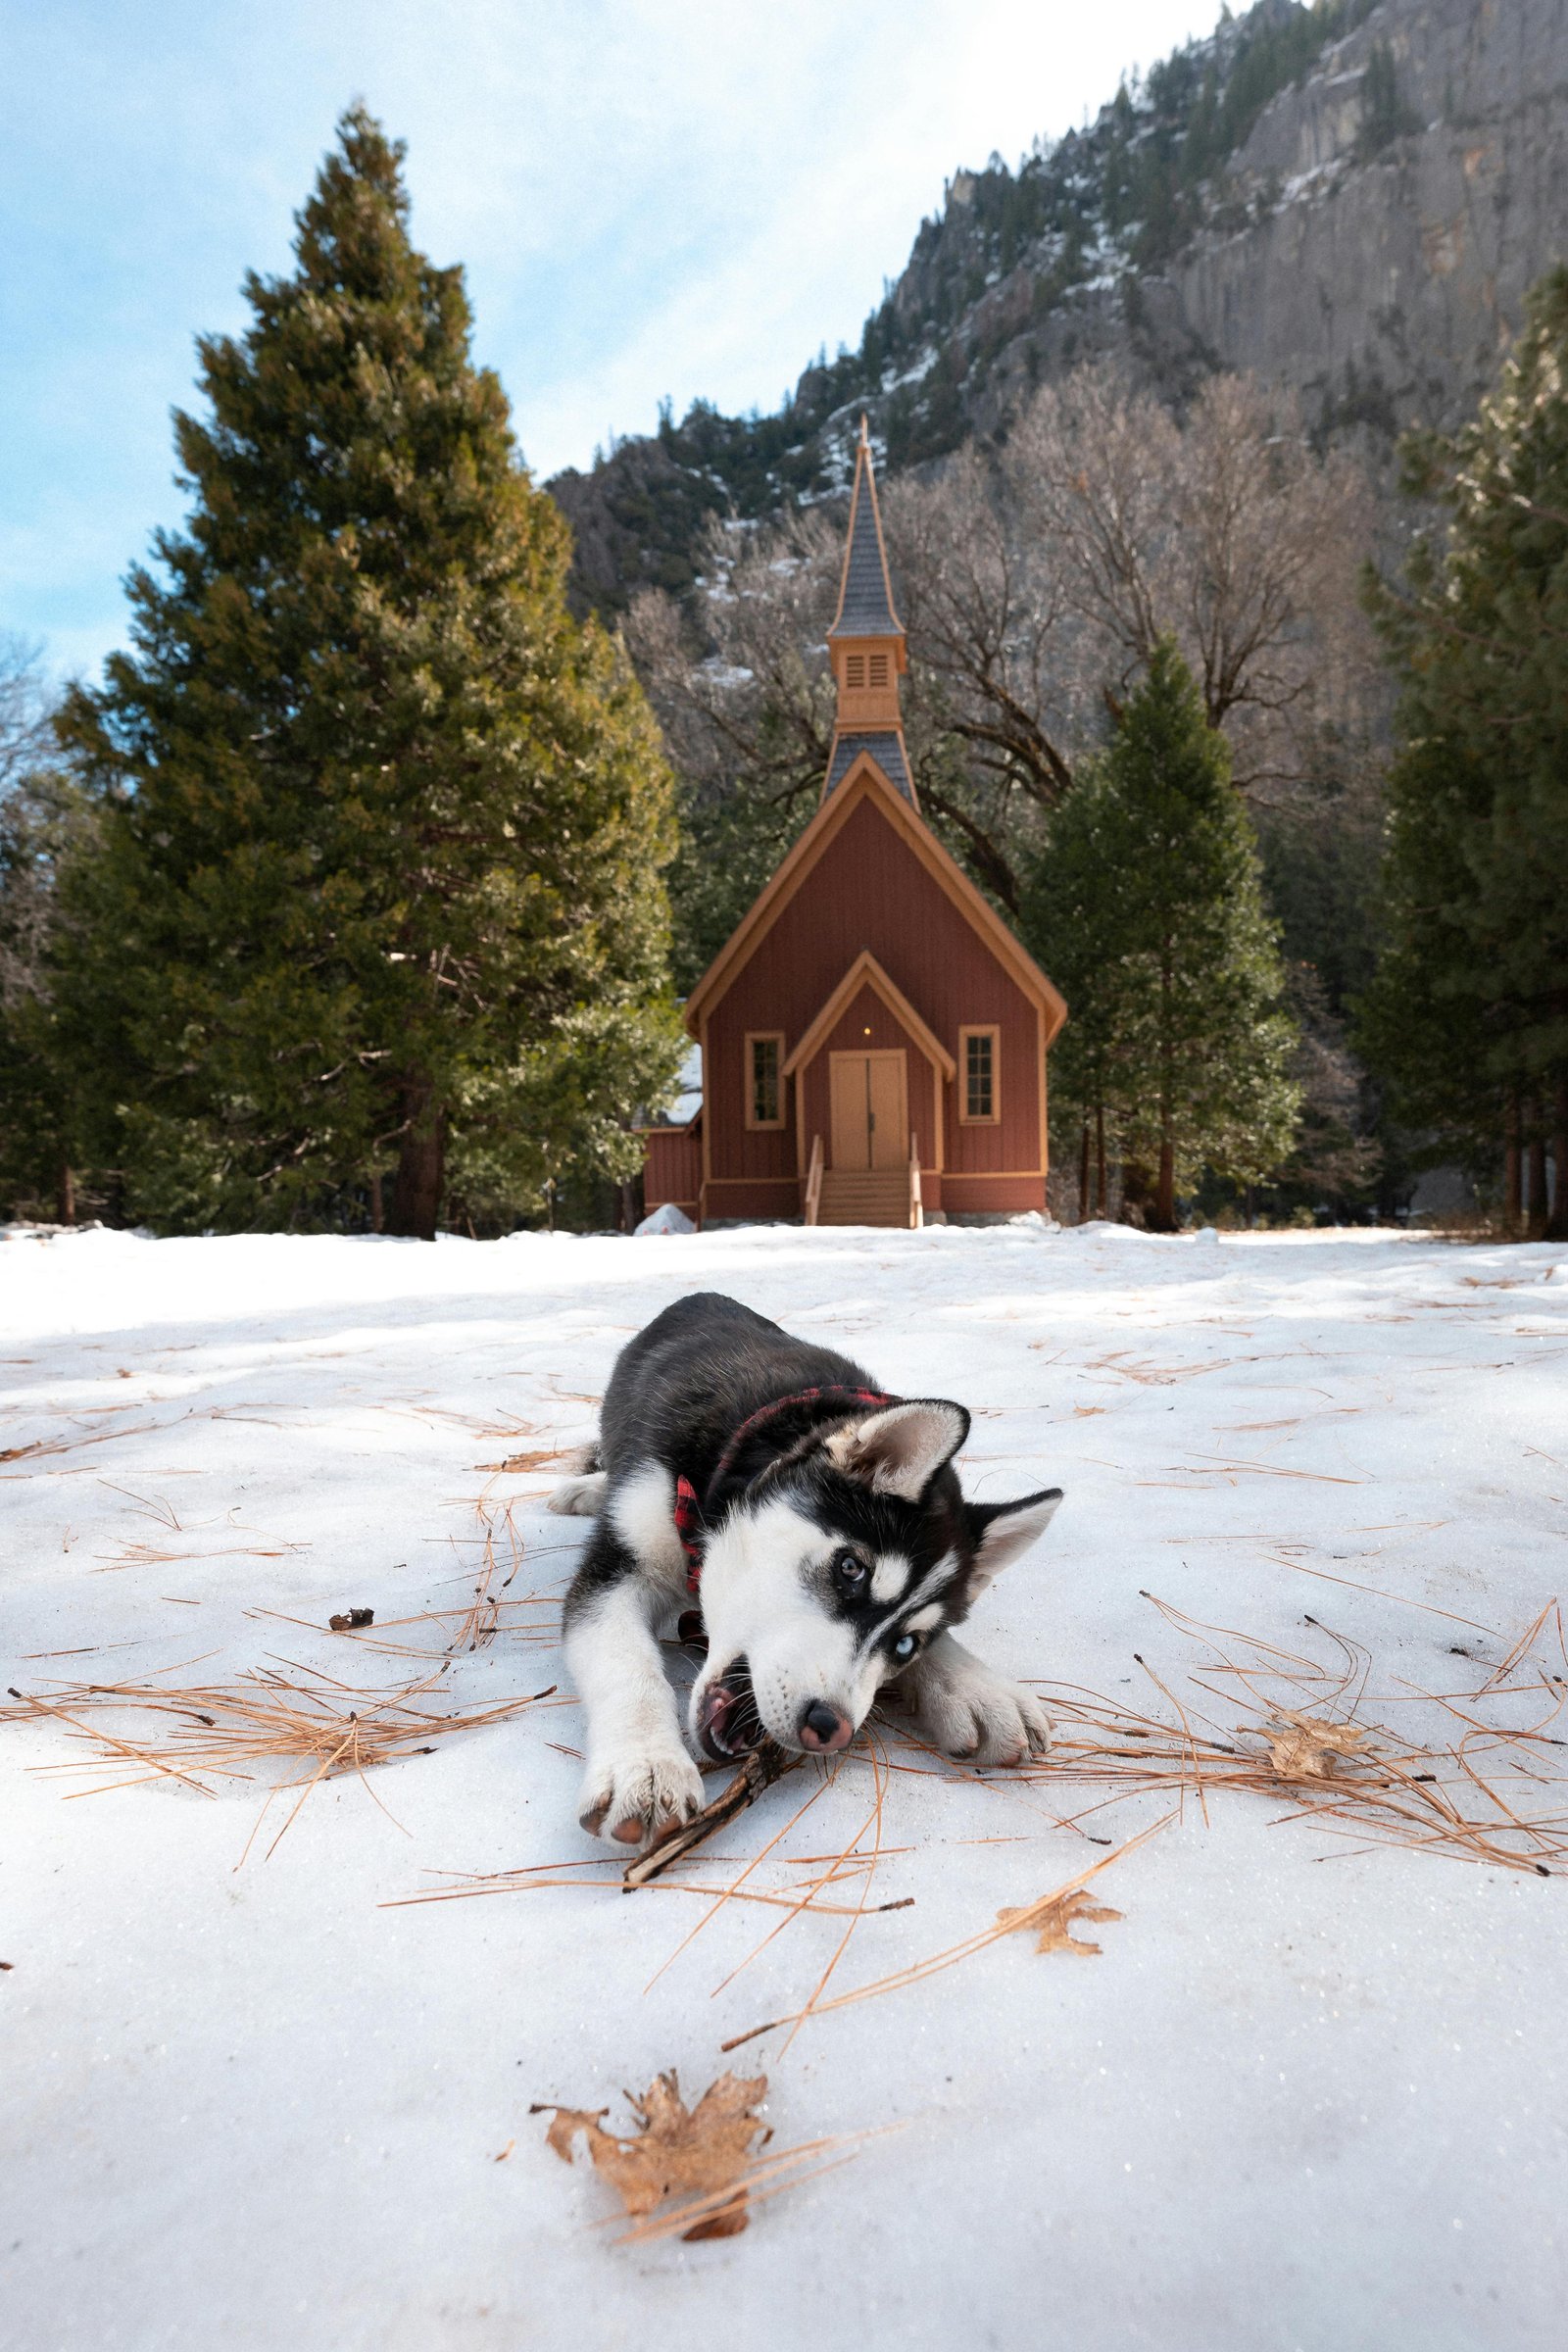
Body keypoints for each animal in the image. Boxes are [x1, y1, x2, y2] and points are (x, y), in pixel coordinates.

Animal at [555, 1298, 1067, 1843]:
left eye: (906, 1645)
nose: (829, 1726)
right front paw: (647, 1765)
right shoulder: (619, 1564)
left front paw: (977, 1688)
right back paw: (587, 1489)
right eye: (850, 1569)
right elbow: (624, 1660)